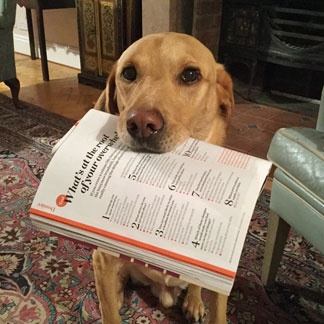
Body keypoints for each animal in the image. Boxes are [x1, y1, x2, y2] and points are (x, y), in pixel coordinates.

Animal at [92, 31, 234, 324]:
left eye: (190, 75)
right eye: (129, 73)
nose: (141, 124)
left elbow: (218, 312)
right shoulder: (103, 257)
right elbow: (109, 311)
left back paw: (194, 301)